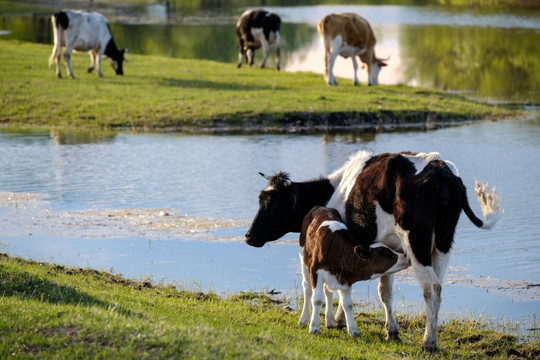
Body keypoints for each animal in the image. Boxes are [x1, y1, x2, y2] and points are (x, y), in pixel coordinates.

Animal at [300, 205, 410, 338]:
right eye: (384, 252)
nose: (405, 256)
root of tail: (320, 207)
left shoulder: (346, 279)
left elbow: (347, 304)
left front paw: (353, 330)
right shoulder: (315, 270)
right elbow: (317, 299)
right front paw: (314, 327)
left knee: (328, 292)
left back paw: (330, 321)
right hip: (304, 258)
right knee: (307, 289)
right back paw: (304, 319)